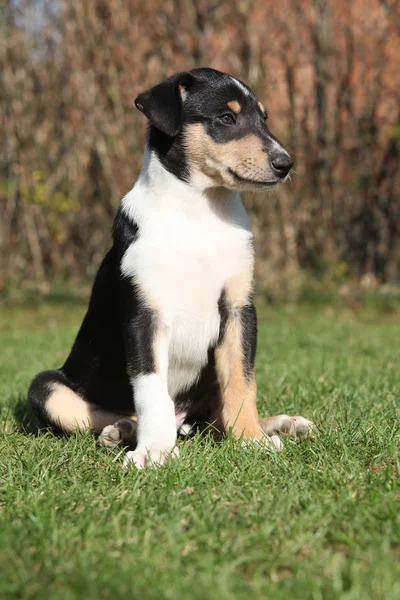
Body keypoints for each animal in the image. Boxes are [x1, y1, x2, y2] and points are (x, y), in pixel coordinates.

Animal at [29, 68, 314, 466]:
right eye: (226, 118)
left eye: (264, 119)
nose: (285, 164)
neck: (199, 211)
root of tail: (185, 421)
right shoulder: (144, 314)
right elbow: (151, 389)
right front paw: (154, 452)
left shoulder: (239, 309)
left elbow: (242, 382)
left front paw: (251, 440)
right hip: (46, 387)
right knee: (117, 412)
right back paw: (124, 432)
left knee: (217, 414)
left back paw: (284, 424)